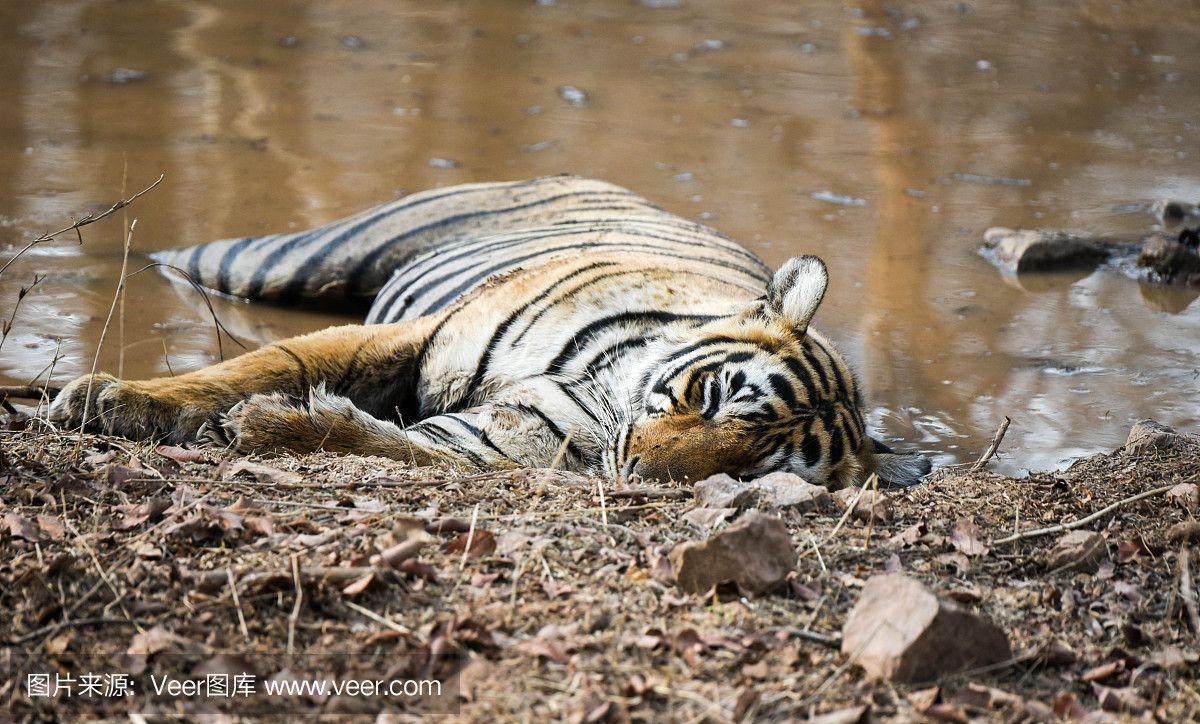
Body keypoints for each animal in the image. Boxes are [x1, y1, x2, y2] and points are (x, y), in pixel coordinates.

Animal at [49, 175, 926, 487]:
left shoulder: (488, 443)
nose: (640, 471)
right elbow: (263, 364)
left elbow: (385, 443)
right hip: (287, 259)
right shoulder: (421, 334)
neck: (605, 392)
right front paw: (111, 399)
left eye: (750, 472)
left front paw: (276, 429)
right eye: (712, 393)